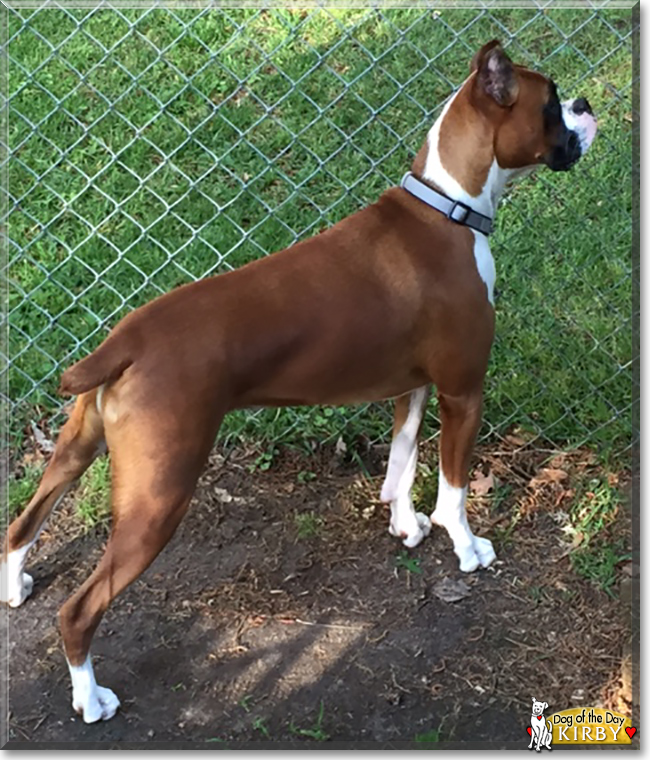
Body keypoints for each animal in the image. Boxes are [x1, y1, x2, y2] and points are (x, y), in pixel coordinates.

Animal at [0, 43, 596, 724]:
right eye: (551, 102)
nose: (586, 104)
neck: (447, 207)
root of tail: (128, 339)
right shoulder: (461, 392)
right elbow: (454, 487)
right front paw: (467, 548)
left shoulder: (411, 389)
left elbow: (401, 461)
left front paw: (405, 525)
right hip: (158, 496)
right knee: (80, 608)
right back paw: (90, 697)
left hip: (77, 450)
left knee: (21, 526)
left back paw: (16, 587)